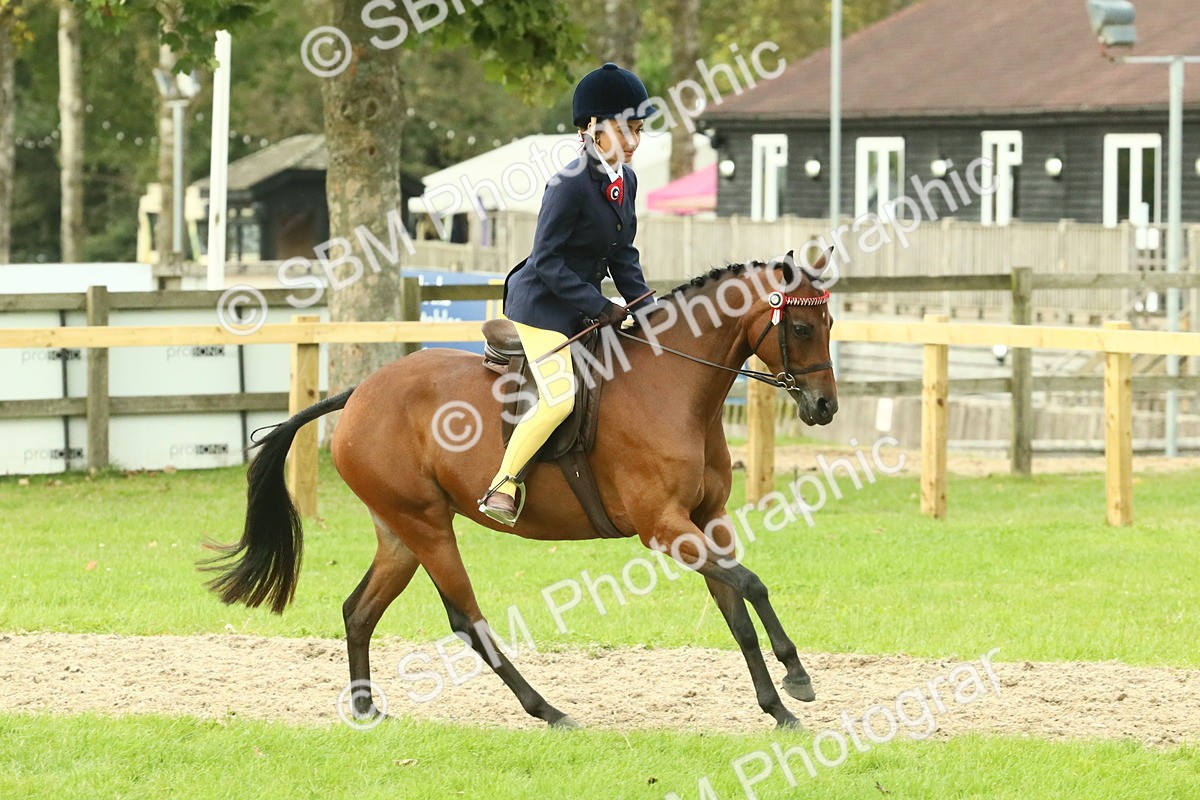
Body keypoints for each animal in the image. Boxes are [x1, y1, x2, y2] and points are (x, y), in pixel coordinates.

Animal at [202, 251, 838, 729]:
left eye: (829, 325)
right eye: (802, 327)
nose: (825, 407)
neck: (675, 386)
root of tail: (358, 394)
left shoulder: (707, 521)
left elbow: (736, 608)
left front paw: (778, 708)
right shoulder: (663, 527)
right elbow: (751, 585)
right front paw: (798, 676)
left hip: (399, 532)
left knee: (358, 612)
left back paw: (366, 711)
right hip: (427, 526)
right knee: (467, 621)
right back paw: (549, 711)